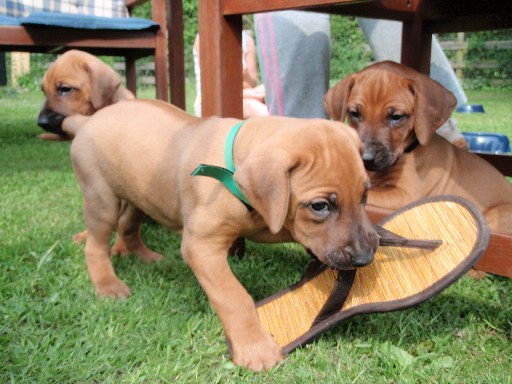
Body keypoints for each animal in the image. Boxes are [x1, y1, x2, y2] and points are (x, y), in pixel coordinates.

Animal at [62, 100, 378, 372]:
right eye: (320, 206)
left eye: (365, 195)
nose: (365, 257)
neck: (232, 168)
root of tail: (87, 120)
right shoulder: (201, 247)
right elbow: (234, 297)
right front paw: (255, 348)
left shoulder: (270, 220)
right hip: (101, 199)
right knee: (95, 245)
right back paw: (107, 284)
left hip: (139, 196)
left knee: (128, 225)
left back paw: (144, 256)